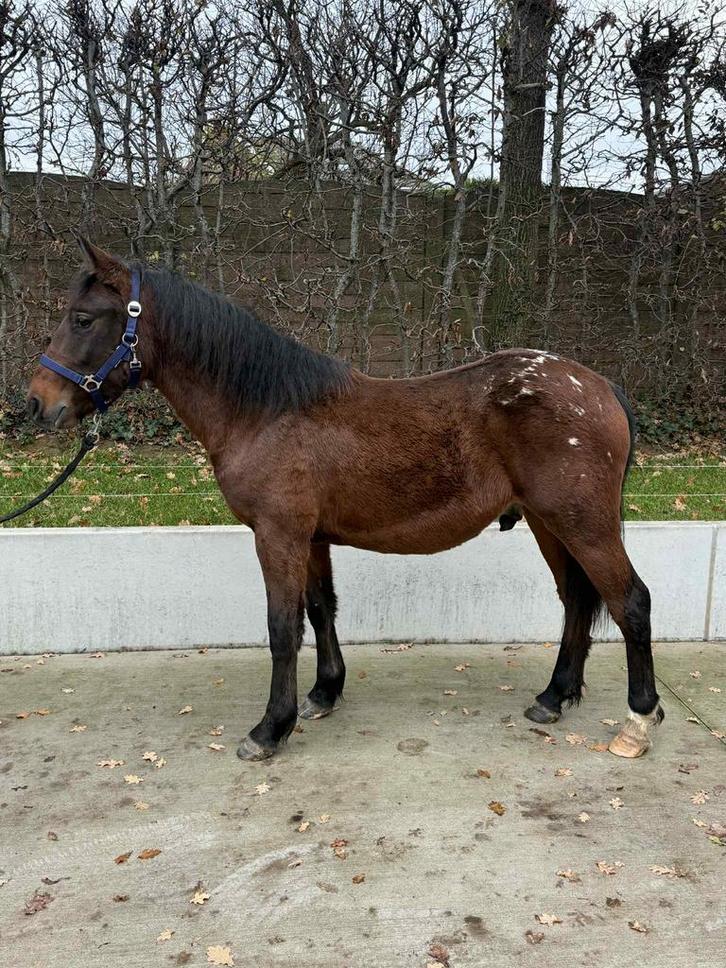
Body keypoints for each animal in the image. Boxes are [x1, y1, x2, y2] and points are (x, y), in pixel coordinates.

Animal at [27, 239, 664, 762]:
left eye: (83, 318)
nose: (37, 403)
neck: (266, 410)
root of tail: (600, 388)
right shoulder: (309, 538)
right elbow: (320, 609)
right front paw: (324, 692)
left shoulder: (277, 534)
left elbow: (282, 627)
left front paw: (270, 729)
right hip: (547, 523)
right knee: (577, 600)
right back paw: (553, 697)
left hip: (582, 523)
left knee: (630, 601)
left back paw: (638, 721)